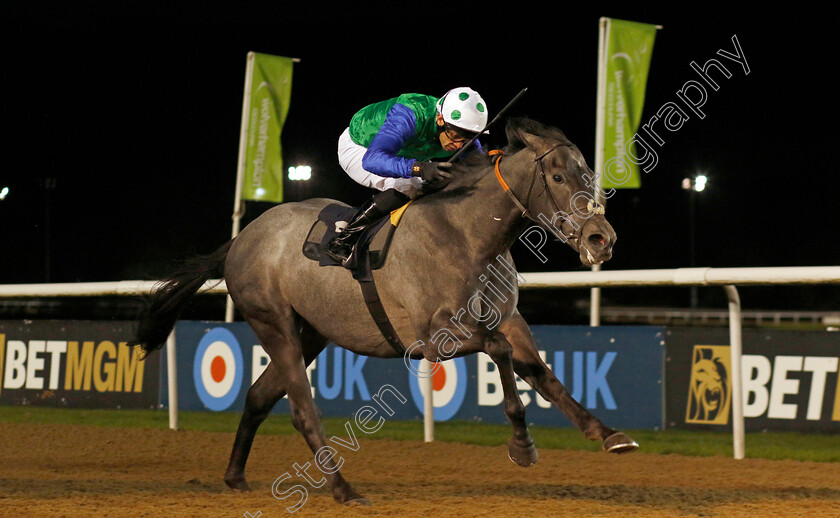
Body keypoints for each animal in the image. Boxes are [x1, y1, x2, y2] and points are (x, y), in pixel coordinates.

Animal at [131, 118, 636, 508]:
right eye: (557, 177)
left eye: (588, 172)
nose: (601, 239)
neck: (467, 233)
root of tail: (241, 239)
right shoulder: (434, 338)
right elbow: (500, 353)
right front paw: (522, 446)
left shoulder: (510, 318)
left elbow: (543, 374)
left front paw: (608, 433)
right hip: (273, 322)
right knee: (301, 409)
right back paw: (343, 488)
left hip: (312, 332)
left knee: (258, 396)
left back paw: (236, 476)